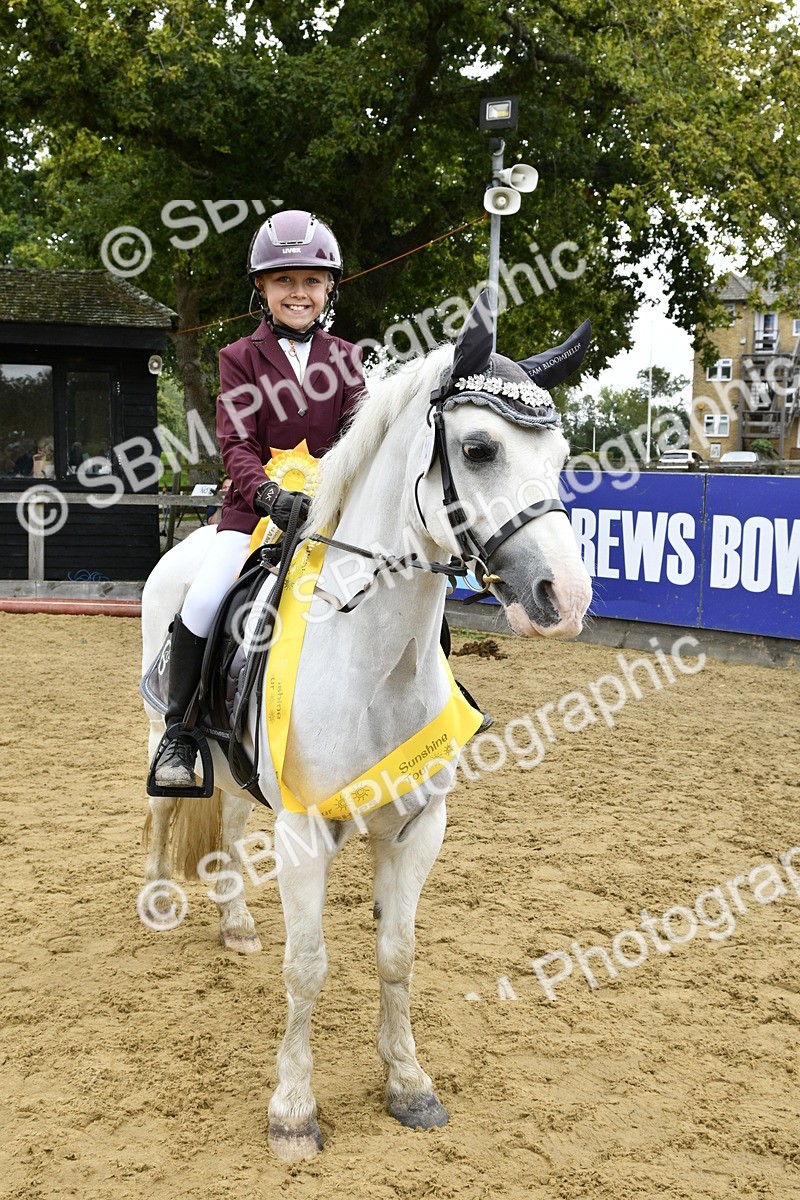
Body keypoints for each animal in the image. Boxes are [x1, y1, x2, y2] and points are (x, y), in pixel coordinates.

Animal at [141, 294, 593, 1161]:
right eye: (479, 448)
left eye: (560, 456)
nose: (566, 596)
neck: (376, 662)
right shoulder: (304, 831)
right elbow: (307, 967)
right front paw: (292, 1110)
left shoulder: (418, 827)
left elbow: (397, 954)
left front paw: (409, 1083)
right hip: (160, 726)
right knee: (159, 804)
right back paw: (155, 899)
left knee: (229, 823)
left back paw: (235, 923)